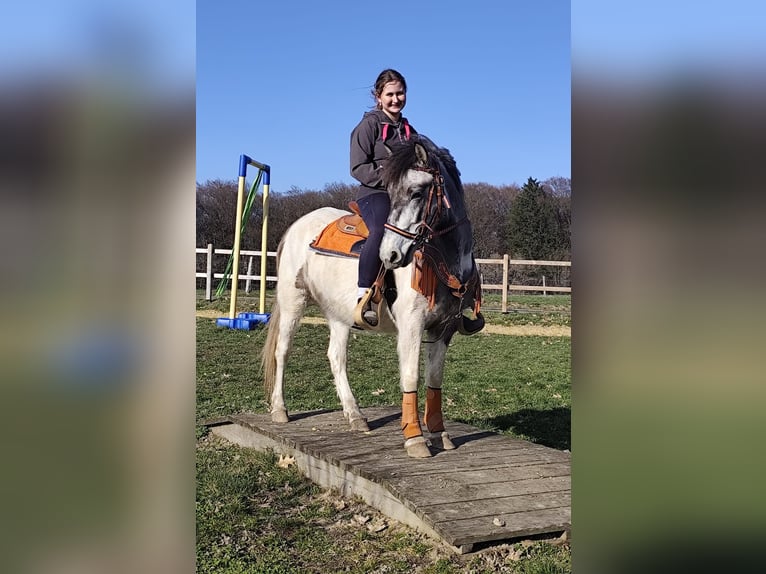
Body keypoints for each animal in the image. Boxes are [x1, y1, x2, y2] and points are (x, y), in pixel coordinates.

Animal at [261, 135, 482, 458]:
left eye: (417, 192)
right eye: (390, 192)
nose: (390, 255)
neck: (442, 259)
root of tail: (295, 227)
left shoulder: (444, 328)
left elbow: (434, 380)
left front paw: (439, 433)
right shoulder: (412, 325)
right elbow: (410, 376)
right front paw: (415, 438)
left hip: (339, 315)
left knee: (336, 357)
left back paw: (355, 415)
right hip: (293, 302)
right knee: (283, 351)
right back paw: (280, 409)